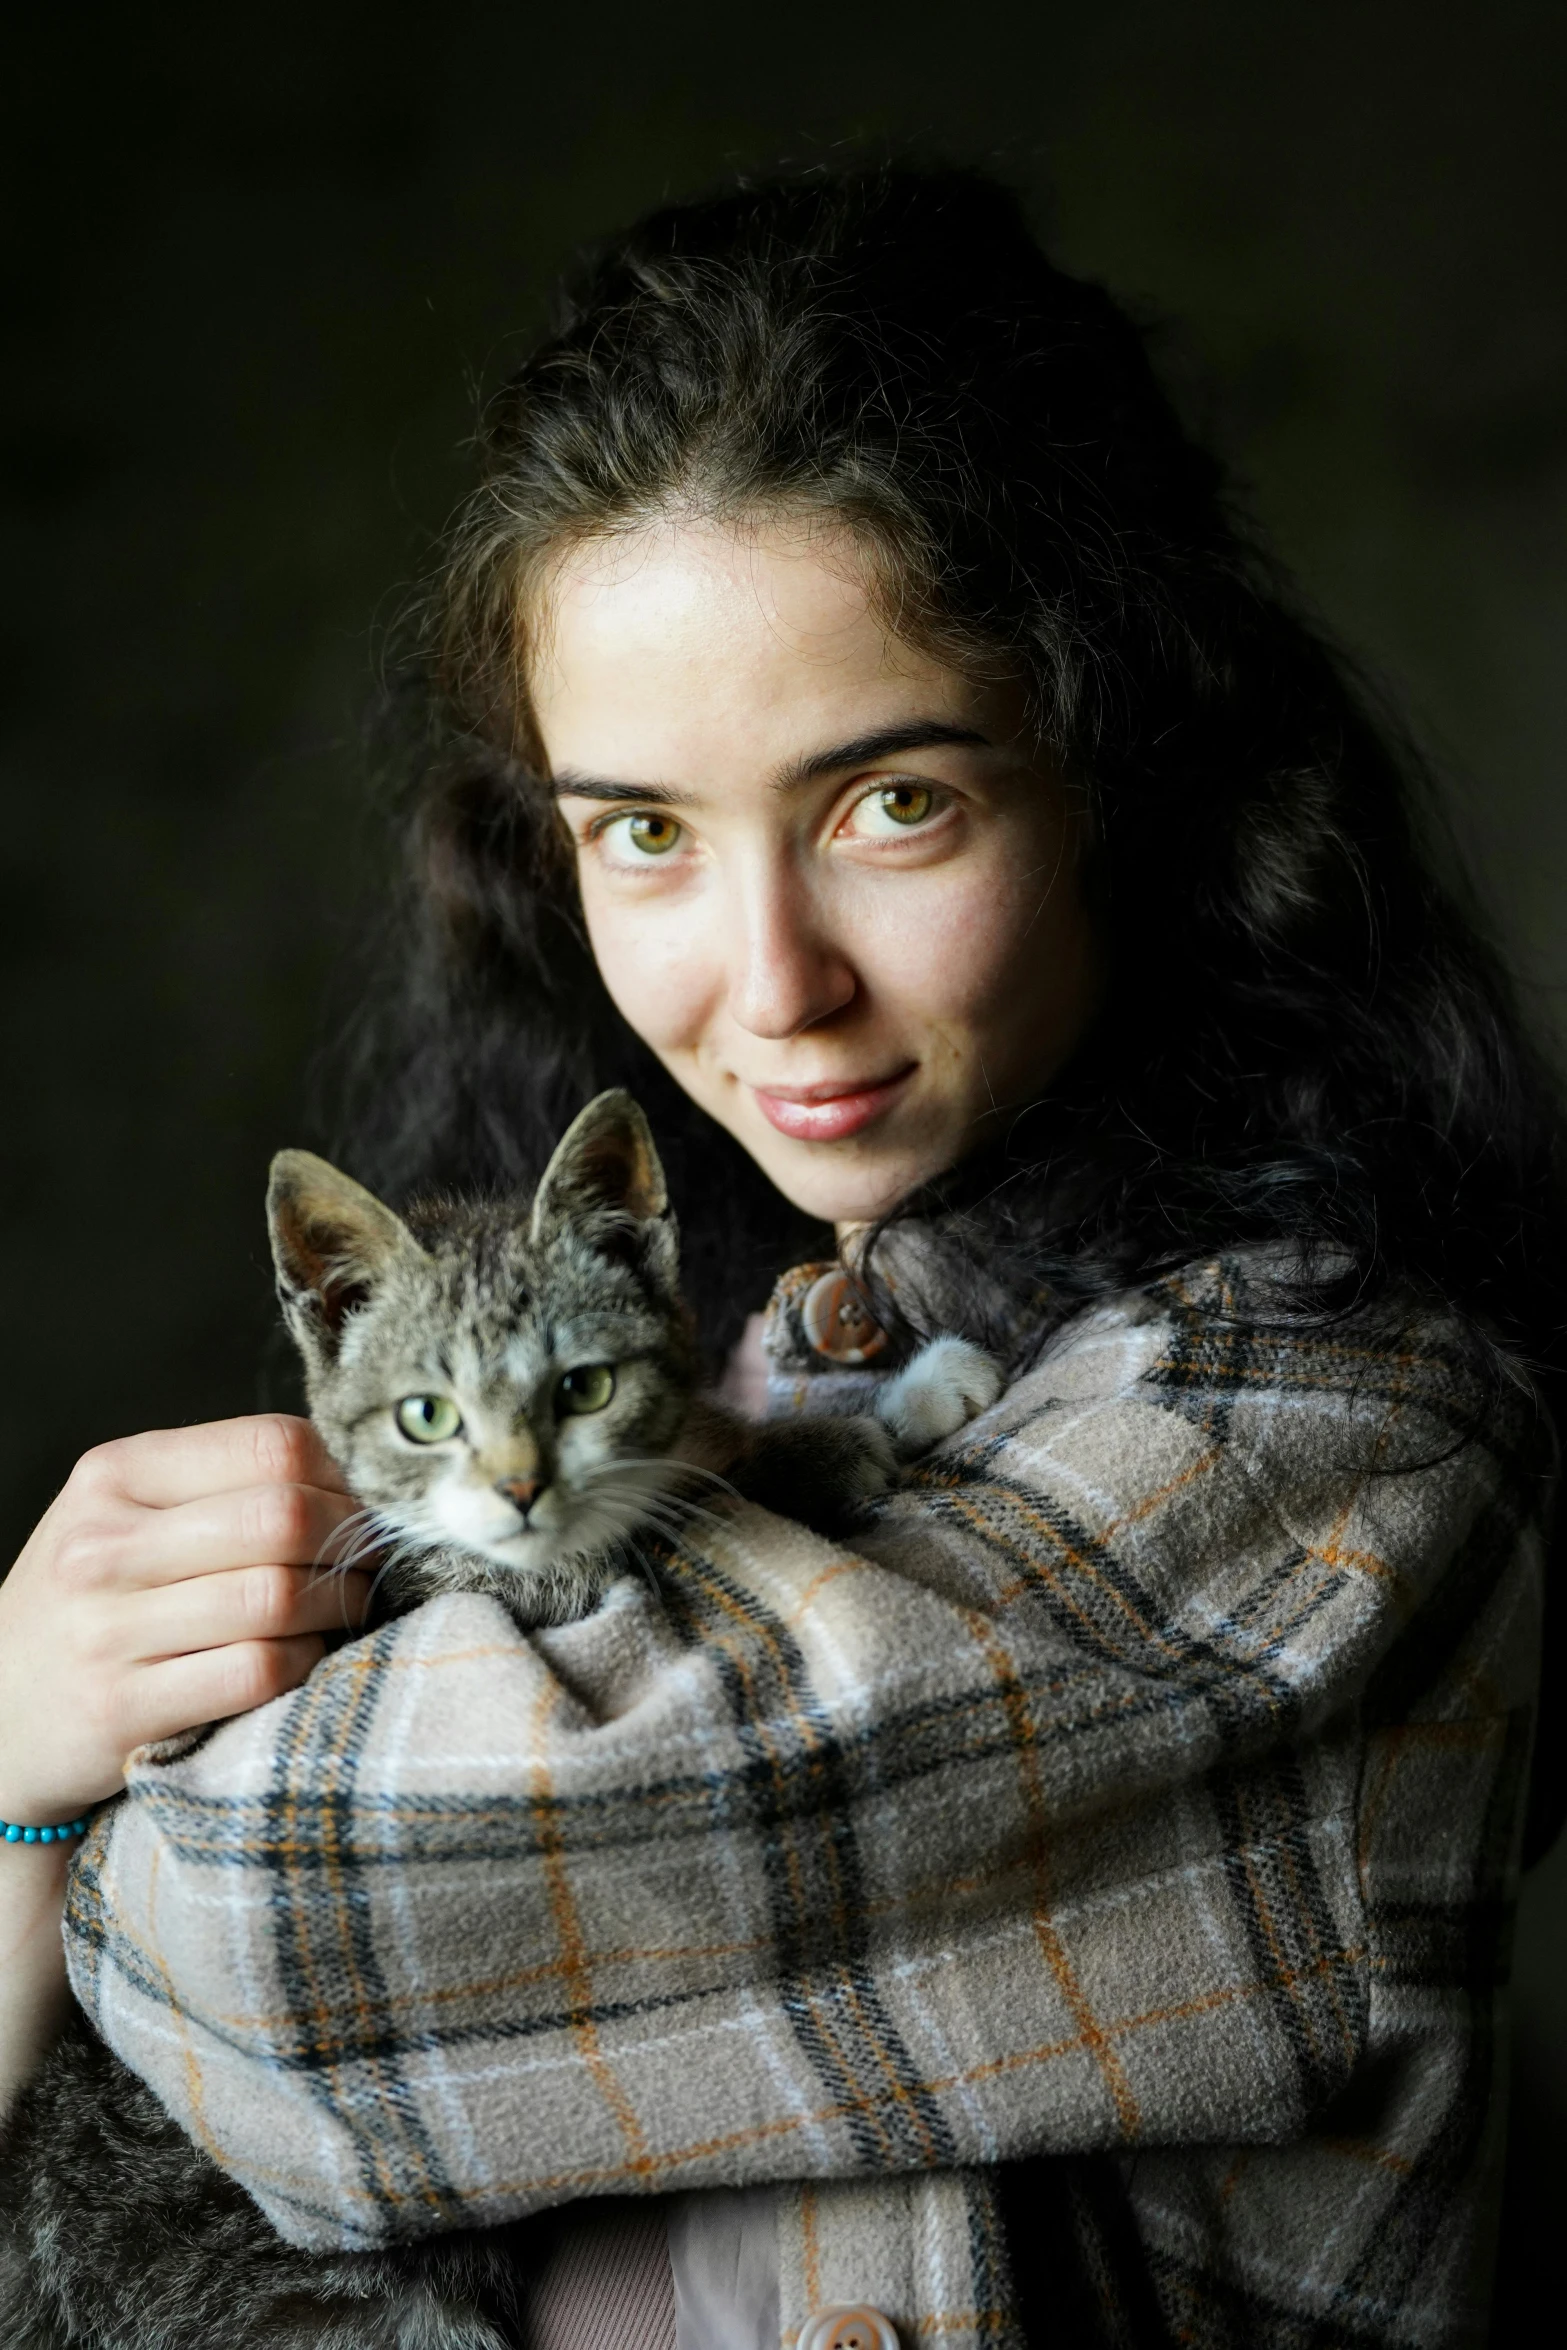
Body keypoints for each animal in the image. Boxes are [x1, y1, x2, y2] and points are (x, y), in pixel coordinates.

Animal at [0, 1090, 1000, 2340]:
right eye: (427, 1415)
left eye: (584, 1387)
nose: (520, 1487)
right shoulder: (467, 1593)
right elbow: (681, 1511)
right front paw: (845, 1430)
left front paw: (884, 1398)